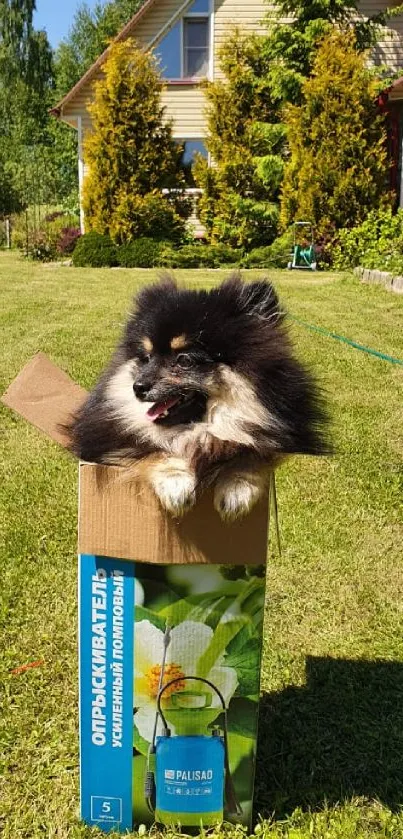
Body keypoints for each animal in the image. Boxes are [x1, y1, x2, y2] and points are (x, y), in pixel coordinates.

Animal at [67, 276, 328, 520]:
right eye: (146, 358)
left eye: (184, 360)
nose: (138, 387)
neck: (199, 430)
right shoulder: (107, 439)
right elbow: (151, 448)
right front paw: (176, 484)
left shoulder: (279, 436)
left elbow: (253, 452)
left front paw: (237, 489)